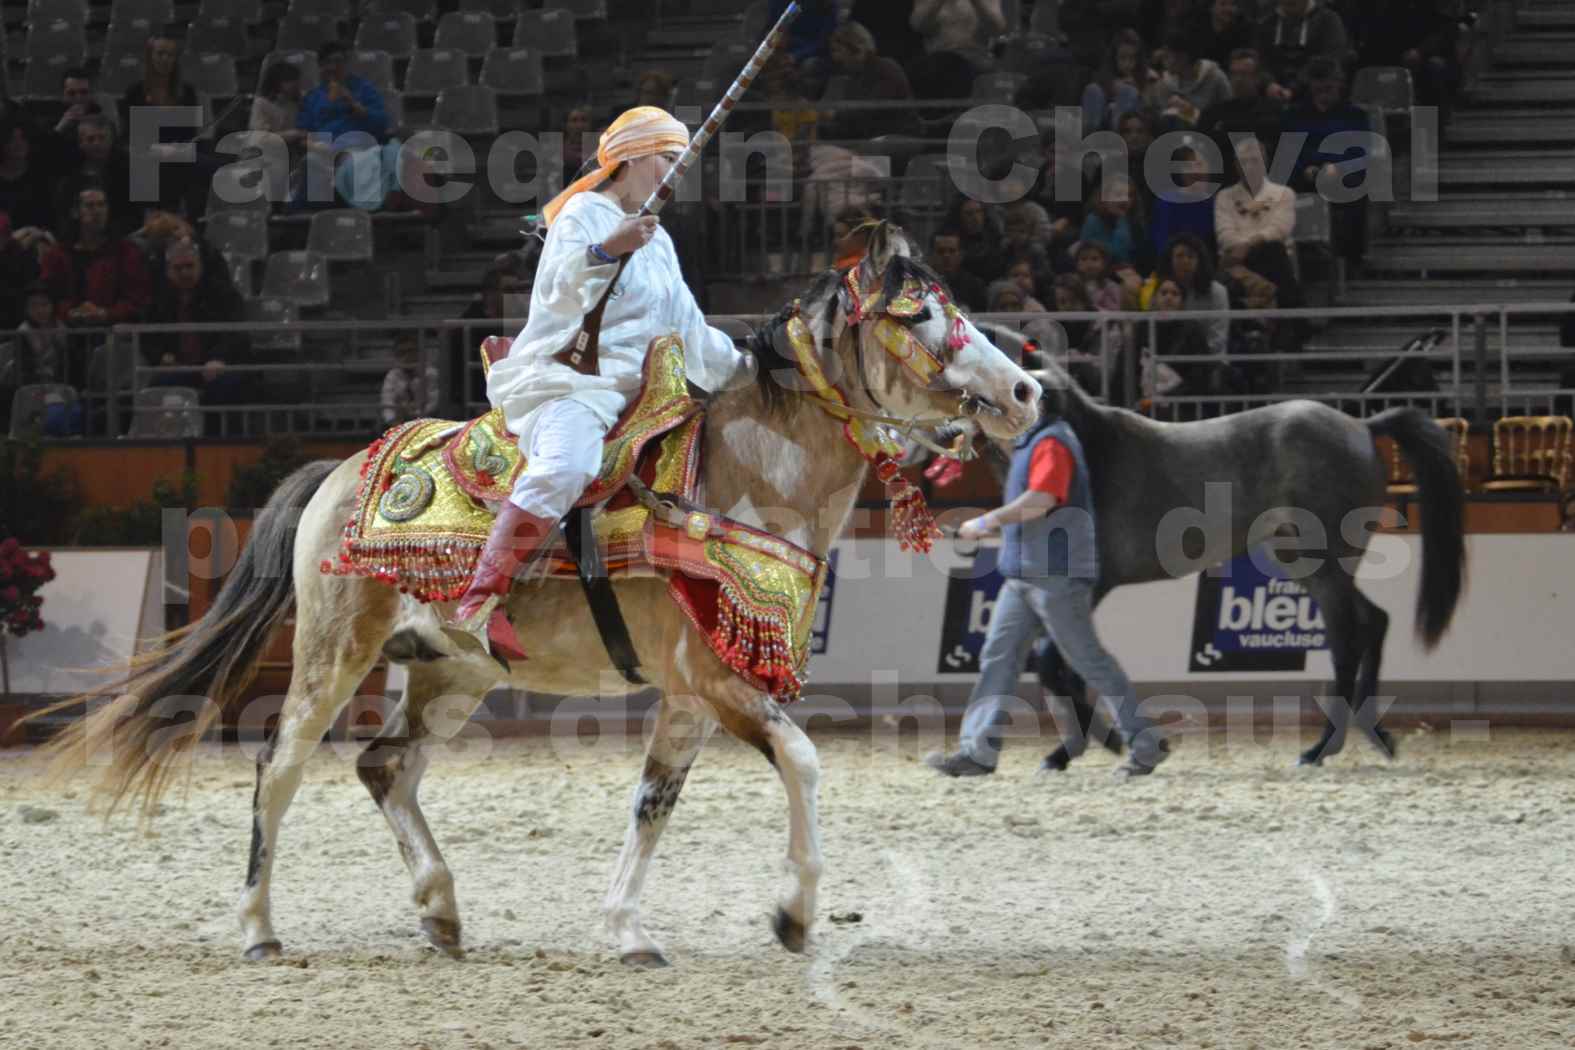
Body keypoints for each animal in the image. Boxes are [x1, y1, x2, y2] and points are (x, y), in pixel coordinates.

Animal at [30, 228, 1039, 969]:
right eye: (921, 314)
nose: (1026, 387)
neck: (736, 479)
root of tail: (337, 472)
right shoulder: (719, 686)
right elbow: (802, 761)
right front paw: (793, 912)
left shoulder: (689, 694)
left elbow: (652, 805)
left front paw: (628, 930)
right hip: (330, 655)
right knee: (277, 771)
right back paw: (258, 929)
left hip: (452, 673)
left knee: (385, 767)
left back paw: (439, 911)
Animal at [963, 338, 1467, 771]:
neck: (1091, 449)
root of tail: (1362, 426)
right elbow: (1058, 667)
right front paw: (1080, 749)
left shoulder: (1088, 586)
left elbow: (1059, 666)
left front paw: (1103, 746)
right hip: (1306, 563)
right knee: (1374, 622)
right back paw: (1372, 734)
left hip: (1323, 567)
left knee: (1348, 640)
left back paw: (1320, 748)